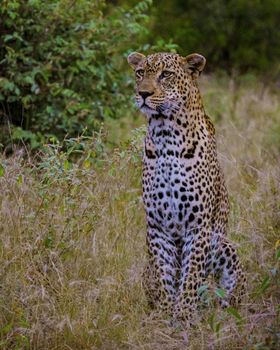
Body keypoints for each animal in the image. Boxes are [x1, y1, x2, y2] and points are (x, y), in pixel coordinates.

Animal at [127, 50, 245, 322]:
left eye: (166, 74)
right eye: (140, 73)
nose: (143, 93)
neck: (166, 137)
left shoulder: (198, 225)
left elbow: (191, 274)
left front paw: (184, 314)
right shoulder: (157, 225)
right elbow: (165, 274)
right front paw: (166, 312)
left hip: (226, 247)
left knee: (228, 295)